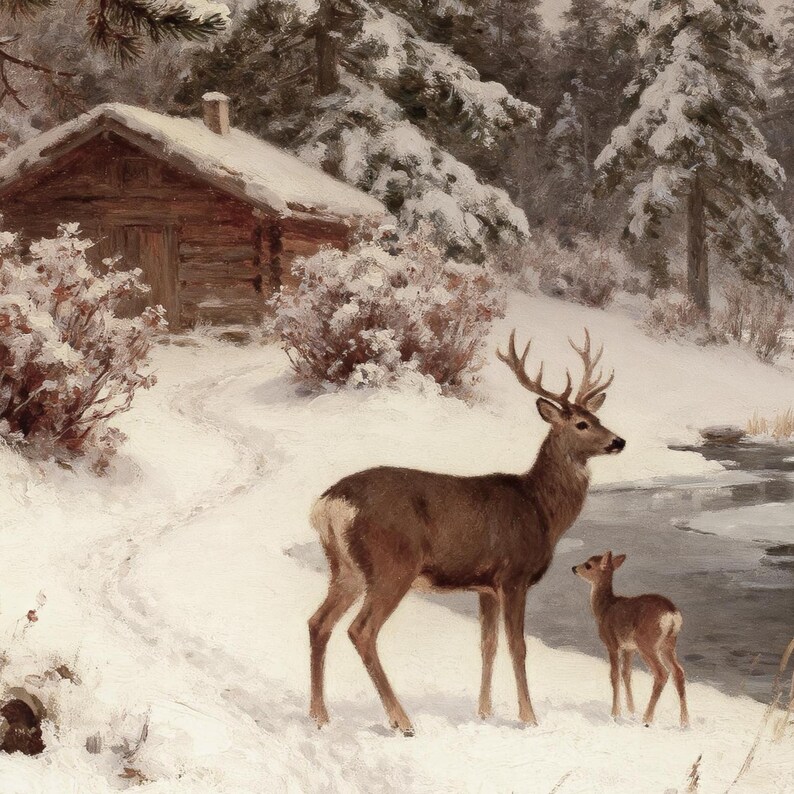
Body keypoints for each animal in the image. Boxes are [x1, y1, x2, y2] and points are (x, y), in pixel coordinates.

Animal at [308, 329, 625, 736]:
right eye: (581, 424)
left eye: (597, 416)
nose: (618, 441)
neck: (540, 509)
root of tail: (330, 503)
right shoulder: (513, 575)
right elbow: (517, 646)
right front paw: (529, 717)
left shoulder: (485, 586)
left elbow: (487, 645)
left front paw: (484, 712)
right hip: (392, 565)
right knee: (361, 631)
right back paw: (401, 720)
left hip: (344, 567)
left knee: (318, 623)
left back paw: (319, 716)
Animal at [572, 551, 689, 728]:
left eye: (588, 565)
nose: (574, 568)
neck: (604, 609)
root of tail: (672, 614)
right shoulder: (629, 648)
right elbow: (626, 674)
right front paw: (631, 711)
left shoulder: (612, 643)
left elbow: (614, 675)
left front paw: (615, 714)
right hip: (668, 644)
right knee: (679, 672)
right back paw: (684, 722)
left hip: (647, 643)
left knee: (662, 673)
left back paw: (647, 719)